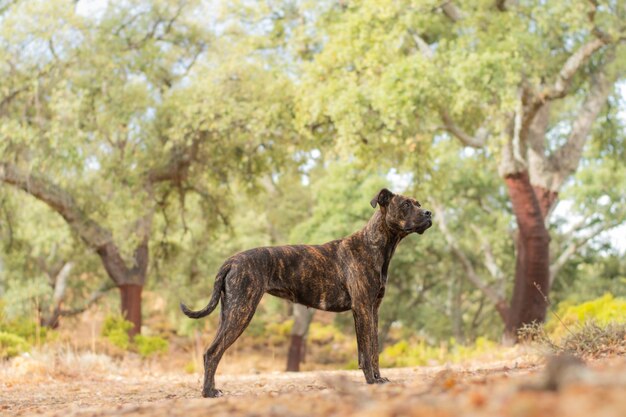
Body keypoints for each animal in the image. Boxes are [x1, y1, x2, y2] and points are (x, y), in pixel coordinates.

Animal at [180, 188, 432, 396]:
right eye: (406, 204)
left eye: (418, 203)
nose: (428, 213)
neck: (376, 244)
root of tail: (231, 261)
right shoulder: (362, 309)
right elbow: (366, 352)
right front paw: (371, 380)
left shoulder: (373, 310)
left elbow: (374, 349)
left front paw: (379, 378)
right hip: (241, 311)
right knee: (213, 352)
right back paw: (208, 393)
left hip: (228, 313)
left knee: (212, 351)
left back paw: (211, 389)